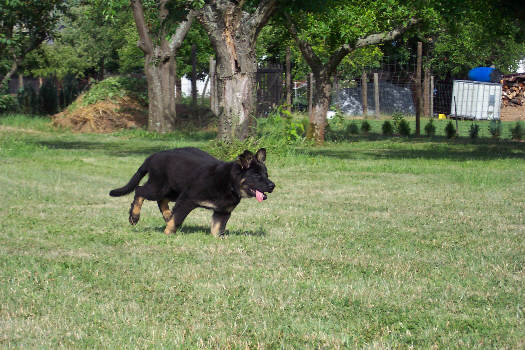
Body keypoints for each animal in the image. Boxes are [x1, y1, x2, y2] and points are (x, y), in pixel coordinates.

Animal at [109, 146, 276, 237]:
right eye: (256, 175)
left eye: (266, 174)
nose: (273, 186)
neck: (229, 182)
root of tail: (152, 157)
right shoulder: (187, 198)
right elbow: (177, 219)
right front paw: (168, 233)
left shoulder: (222, 212)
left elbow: (217, 228)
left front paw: (219, 239)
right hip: (159, 187)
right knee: (140, 191)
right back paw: (134, 216)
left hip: (174, 190)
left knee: (162, 200)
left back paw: (167, 215)